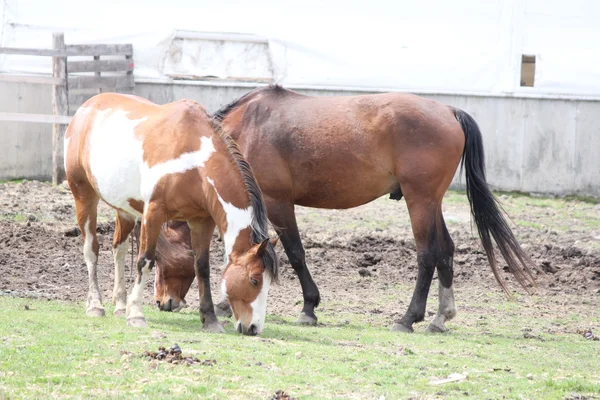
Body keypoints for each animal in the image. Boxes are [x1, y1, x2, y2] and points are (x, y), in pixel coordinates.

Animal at [64, 93, 280, 334]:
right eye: (254, 280)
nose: (254, 327)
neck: (195, 161)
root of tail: (86, 107)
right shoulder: (153, 214)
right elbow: (145, 261)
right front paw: (136, 314)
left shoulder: (202, 221)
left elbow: (202, 268)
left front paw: (210, 320)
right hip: (83, 195)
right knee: (91, 250)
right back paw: (96, 306)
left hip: (124, 209)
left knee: (118, 249)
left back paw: (120, 306)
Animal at [152, 86, 536, 332]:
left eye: (157, 257)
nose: (163, 303)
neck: (246, 129)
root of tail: (449, 111)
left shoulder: (277, 203)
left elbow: (295, 254)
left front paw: (308, 307)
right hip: (431, 201)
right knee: (446, 251)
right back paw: (441, 317)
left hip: (420, 201)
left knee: (427, 254)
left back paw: (408, 319)